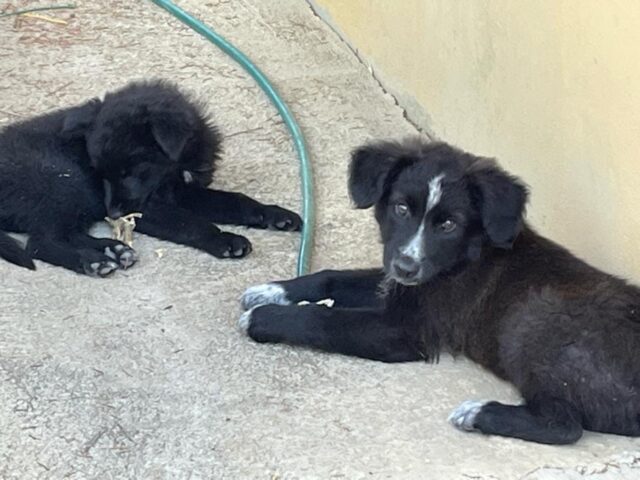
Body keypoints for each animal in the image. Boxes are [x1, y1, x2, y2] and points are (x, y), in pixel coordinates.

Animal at [0, 80, 302, 276]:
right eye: (101, 173)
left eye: (129, 171)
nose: (113, 213)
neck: (174, 167)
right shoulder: (148, 207)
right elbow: (190, 223)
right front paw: (224, 240)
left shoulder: (188, 192)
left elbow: (236, 201)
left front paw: (274, 214)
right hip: (62, 183)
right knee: (41, 243)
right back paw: (94, 261)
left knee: (66, 233)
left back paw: (113, 251)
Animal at [239, 137, 640, 444]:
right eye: (401, 208)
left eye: (448, 225)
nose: (406, 267)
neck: (465, 255)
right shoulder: (396, 285)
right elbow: (329, 277)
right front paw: (270, 290)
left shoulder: (403, 331)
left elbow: (324, 319)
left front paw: (264, 318)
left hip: (535, 322)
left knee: (565, 425)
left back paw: (479, 413)